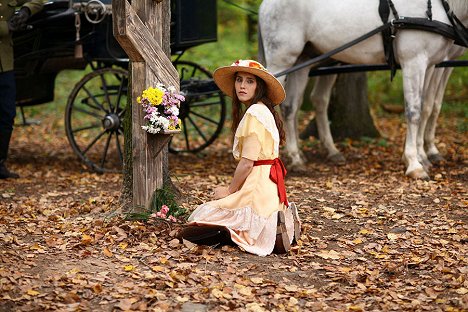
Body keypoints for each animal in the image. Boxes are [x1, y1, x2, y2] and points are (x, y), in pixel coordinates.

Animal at [258, 0, 466, 179]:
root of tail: (266, 5)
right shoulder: (414, 62)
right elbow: (414, 112)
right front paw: (414, 163)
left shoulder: (431, 65)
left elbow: (426, 108)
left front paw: (422, 156)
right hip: (282, 61)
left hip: (304, 60)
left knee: (292, 106)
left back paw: (298, 157)